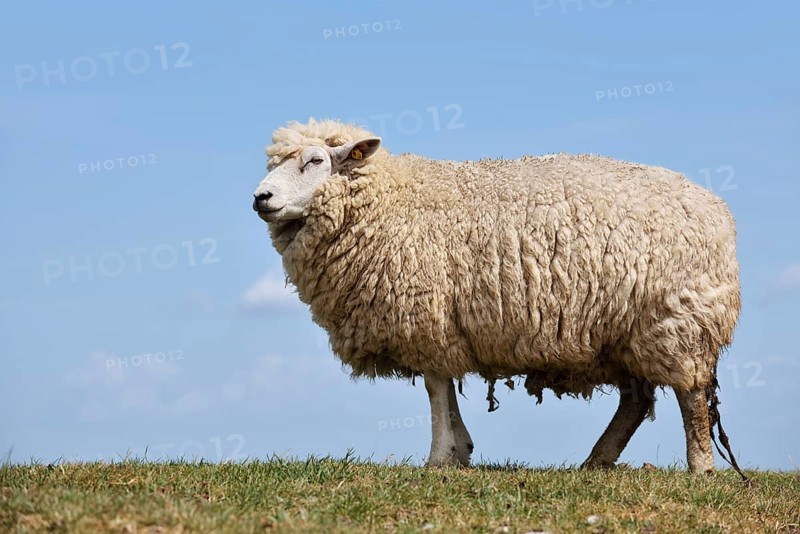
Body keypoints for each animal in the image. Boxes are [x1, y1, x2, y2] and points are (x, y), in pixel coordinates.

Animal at [252, 119, 740, 473]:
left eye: (316, 160)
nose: (261, 197)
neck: (392, 201)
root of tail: (715, 209)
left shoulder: (429, 319)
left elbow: (435, 389)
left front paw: (440, 458)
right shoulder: (443, 328)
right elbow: (443, 389)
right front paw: (461, 450)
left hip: (677, 321)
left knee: (691, 395)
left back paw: (700, 467)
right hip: (624, 332)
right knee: (636, 400)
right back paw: (596, 462)